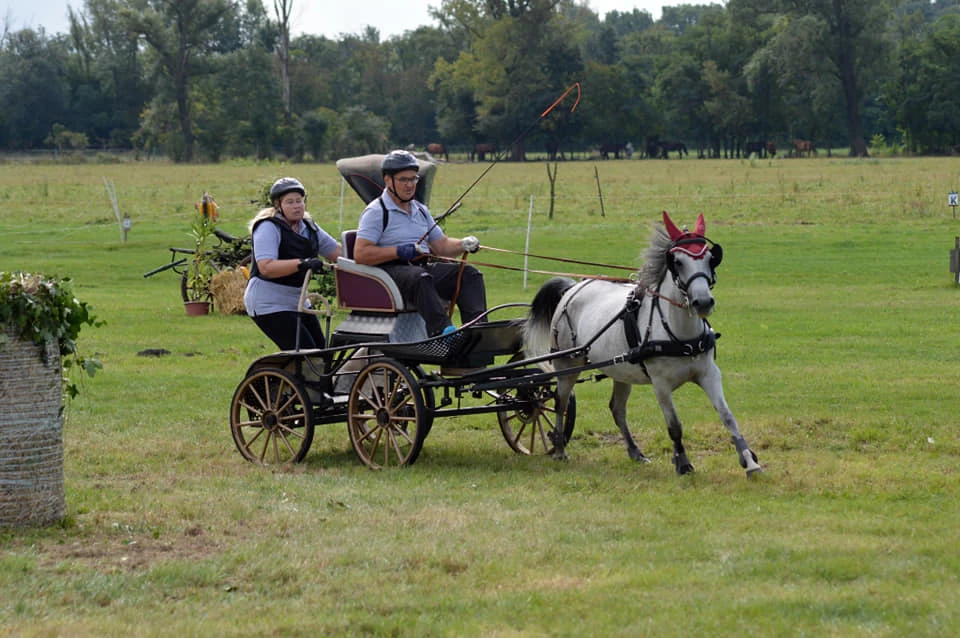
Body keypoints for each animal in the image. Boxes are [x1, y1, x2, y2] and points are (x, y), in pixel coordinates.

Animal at [523, 211, 761, 477]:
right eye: (678, 262)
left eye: (711, 258)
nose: (703, 302)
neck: (680, 333)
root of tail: (573, 287)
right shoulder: (661, 384)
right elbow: (674, 425)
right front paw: (683, 463)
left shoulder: (709, 373)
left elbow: (727, 416)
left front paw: (749, 461)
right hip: (567, 364)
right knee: (560, 403)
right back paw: (559, 449)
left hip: (620, 370)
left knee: (617, 409)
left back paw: (634, 451)